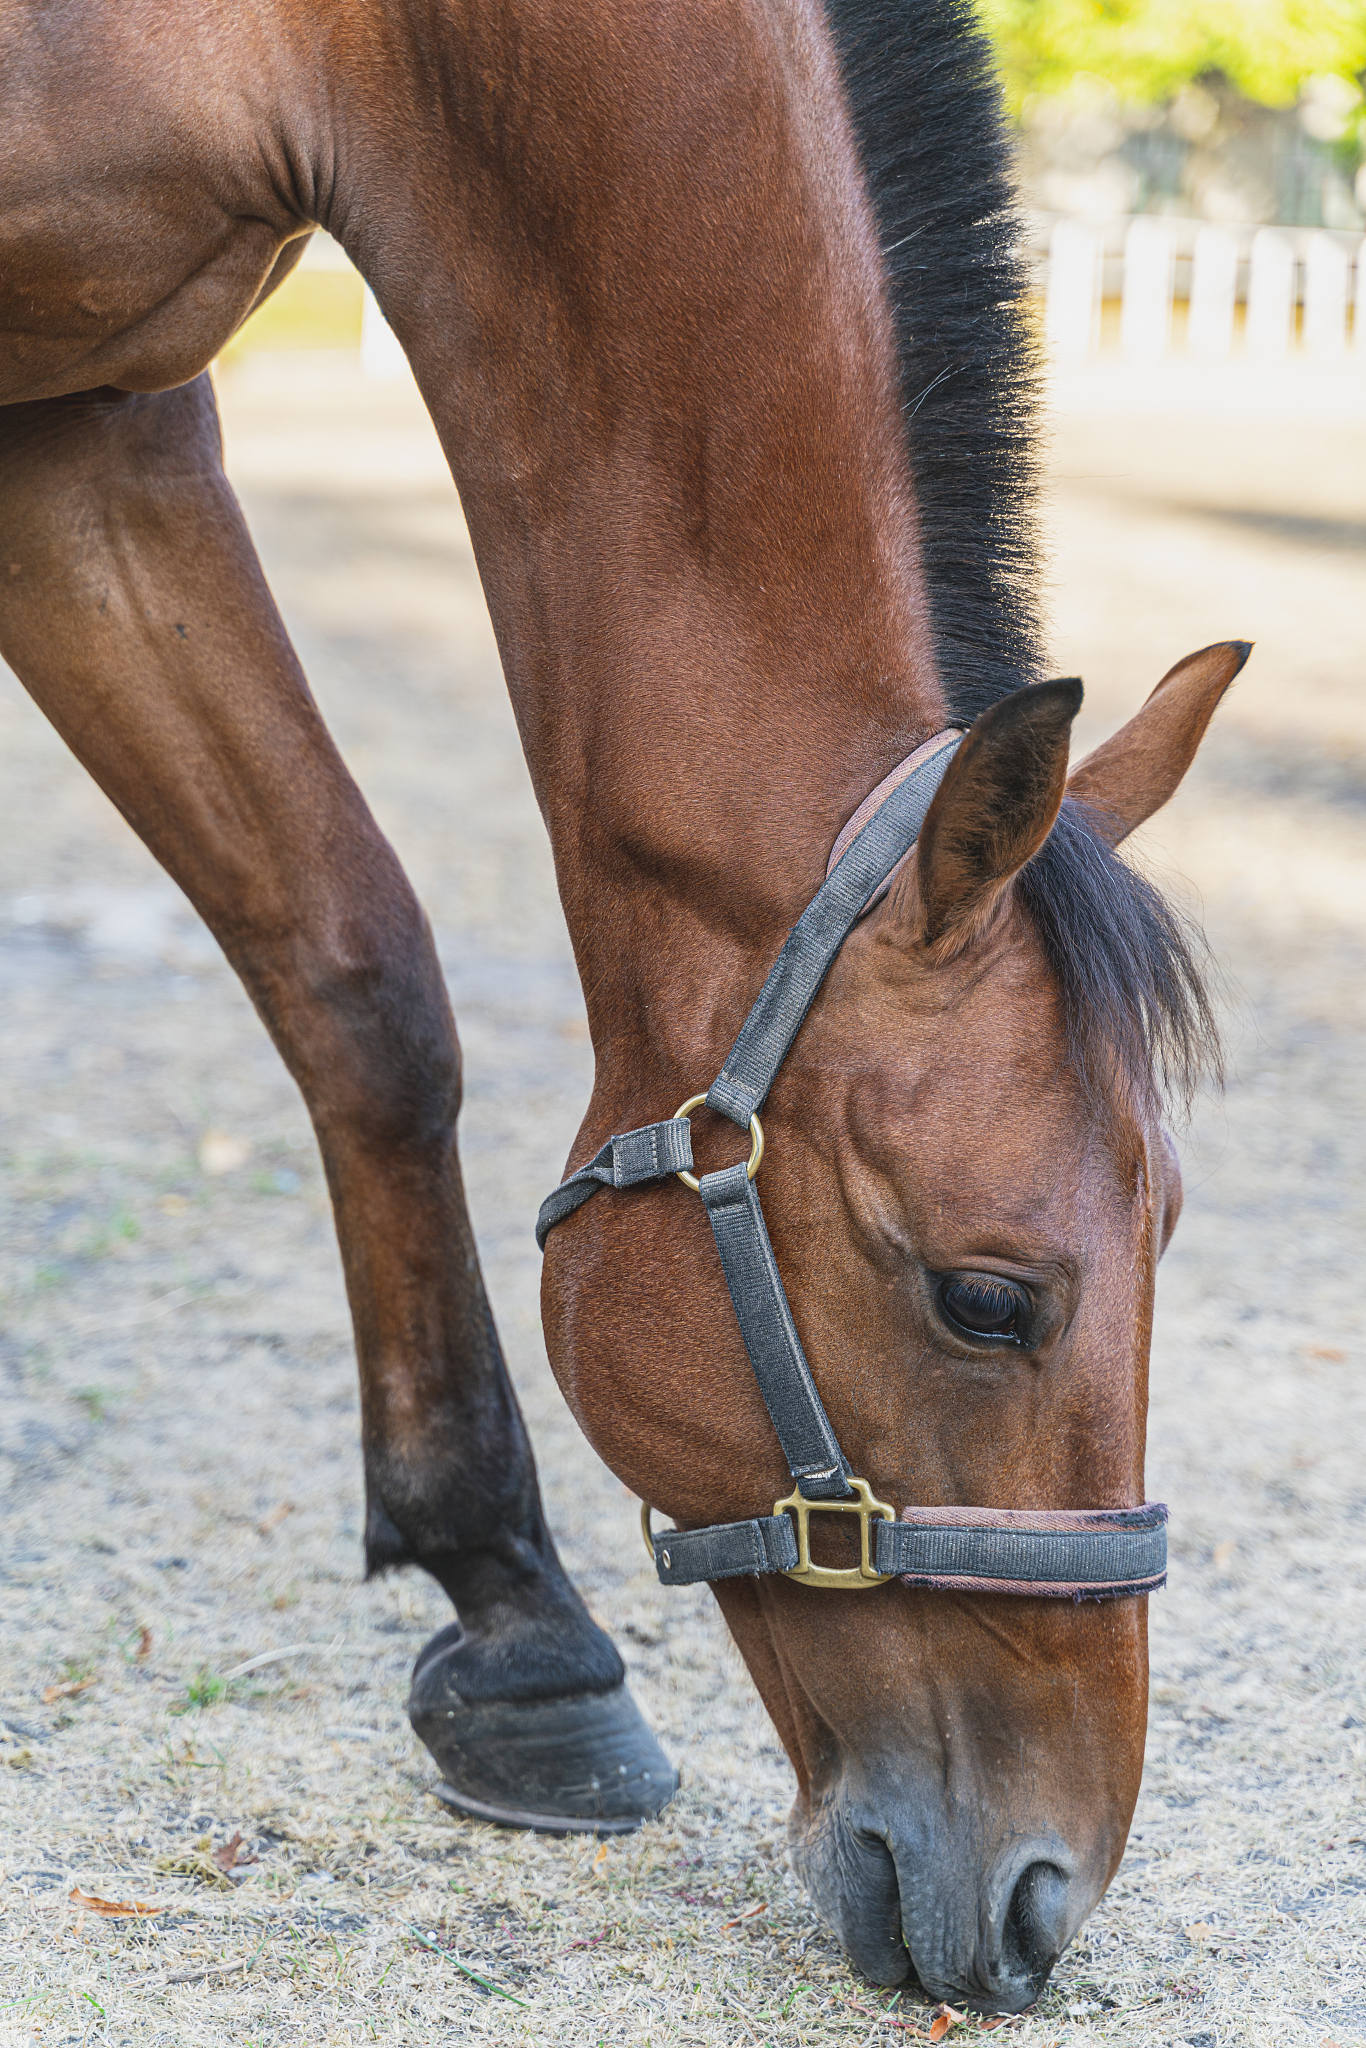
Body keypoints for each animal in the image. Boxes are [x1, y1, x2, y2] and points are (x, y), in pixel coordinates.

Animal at [0, 0, 1244, 2012]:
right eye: (987, 1298)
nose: (1047, 1897)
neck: (338, 49)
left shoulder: (95, 420)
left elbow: (353, 972)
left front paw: (520, 1630)